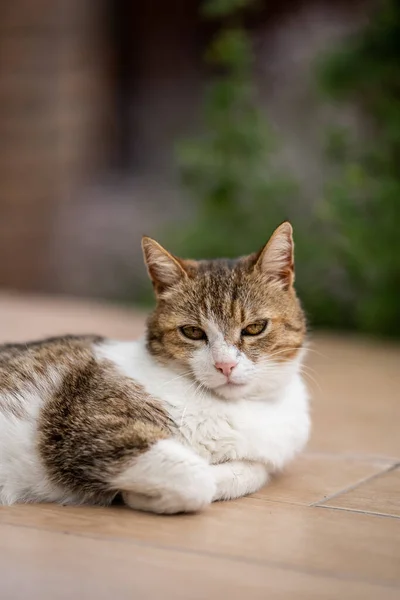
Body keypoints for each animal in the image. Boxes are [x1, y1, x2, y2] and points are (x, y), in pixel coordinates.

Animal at [0, 223, 310, 512]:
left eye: (255, 327)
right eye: (192, 332)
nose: (225, 365)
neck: (240, 407)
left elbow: (250, 473)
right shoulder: (85, 429)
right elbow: (196, 479)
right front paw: (139, 496)